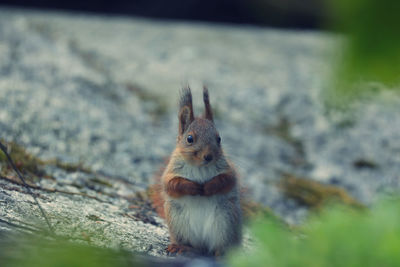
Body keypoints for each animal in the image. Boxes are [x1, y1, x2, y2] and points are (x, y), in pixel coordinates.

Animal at [151, 87, 242, 256]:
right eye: (189, 139)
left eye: (219, 138)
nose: (208, 156)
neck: (199, 166)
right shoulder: (171, 171)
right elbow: (171, 184)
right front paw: (192, 187)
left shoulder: (227, 170)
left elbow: (226, 180)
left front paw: (208, 187)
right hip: (178, 222)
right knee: (194, 246)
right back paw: (181, 247)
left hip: (225, 222)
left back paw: (221, 253)